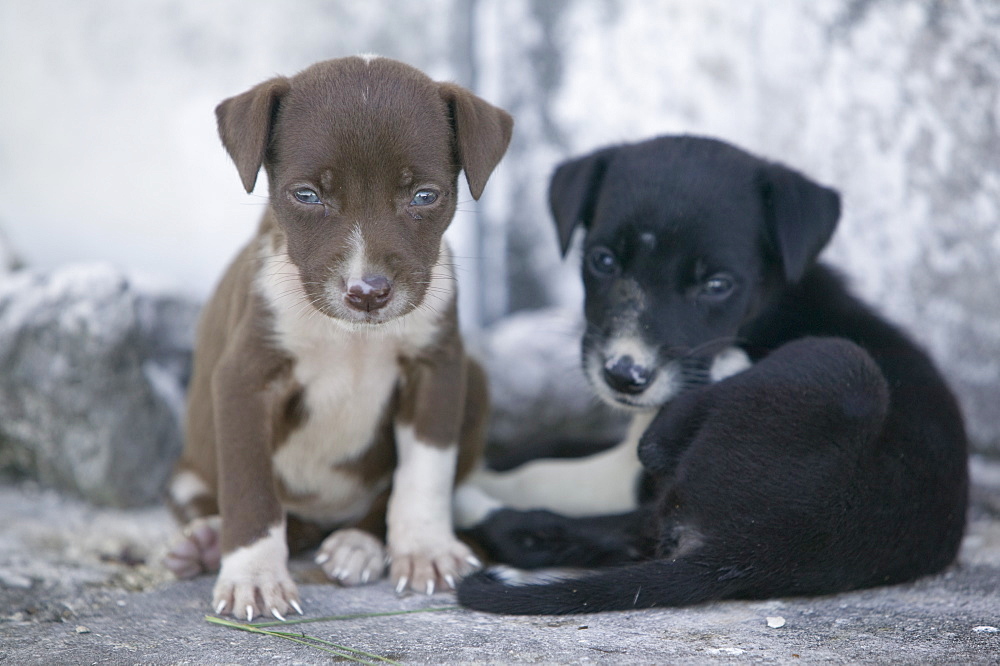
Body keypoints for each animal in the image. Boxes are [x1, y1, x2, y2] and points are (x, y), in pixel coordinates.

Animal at [163, 54, 512, 620]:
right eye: (306, 195)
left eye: (424, 196)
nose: (367, 291)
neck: (351, 337)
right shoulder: (244, 380)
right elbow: (251, 490)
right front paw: (254, 577)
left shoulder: (439, 368)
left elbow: (426, 471)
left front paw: (425, 548)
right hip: (189, 473)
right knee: (269, 517)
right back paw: (208, 542)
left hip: (476, 382)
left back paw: (358, 544)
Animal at [460, 135, 968, 612]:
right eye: (602, 260)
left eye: (717, 285)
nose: (625, 375)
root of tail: (751, 550)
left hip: (839, 364)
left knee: (644, 458)